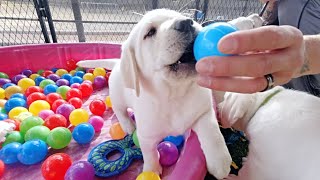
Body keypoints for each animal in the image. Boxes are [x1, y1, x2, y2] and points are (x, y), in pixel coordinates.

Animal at [77, 8, 262, 179]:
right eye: (150, 32)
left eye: (181, 16)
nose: (186, 22)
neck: (173, 93)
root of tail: (117, 63)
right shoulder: (146, 135)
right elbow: (150, 154)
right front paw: (151, 170)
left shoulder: (204, 112)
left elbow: (212, 133)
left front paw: (220, 162)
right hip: (117, 96)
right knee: (120, 110)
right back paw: (128, 125)